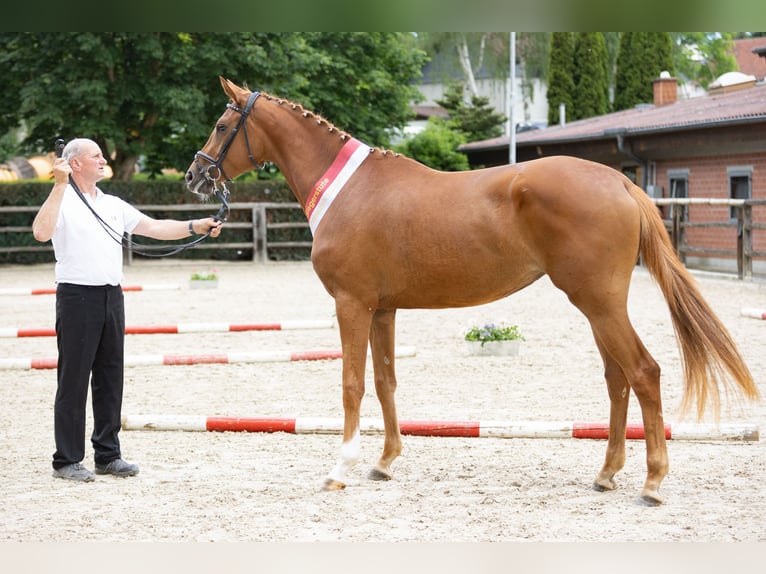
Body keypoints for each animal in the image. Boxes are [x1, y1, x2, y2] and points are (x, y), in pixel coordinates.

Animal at [186, 79, 760, 506]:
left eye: (221, 126)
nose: (194, 175)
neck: (349, 190)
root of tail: (619, 182)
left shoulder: (352, 304)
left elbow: (352, 384)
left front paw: (340, 468)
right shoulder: (383, 309)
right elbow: (387, 381)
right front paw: (385, 461)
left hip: (598, 303)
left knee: (643, 372)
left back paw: (653, 481)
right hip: (597, 307)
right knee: (617, 379)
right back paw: (607, 473)